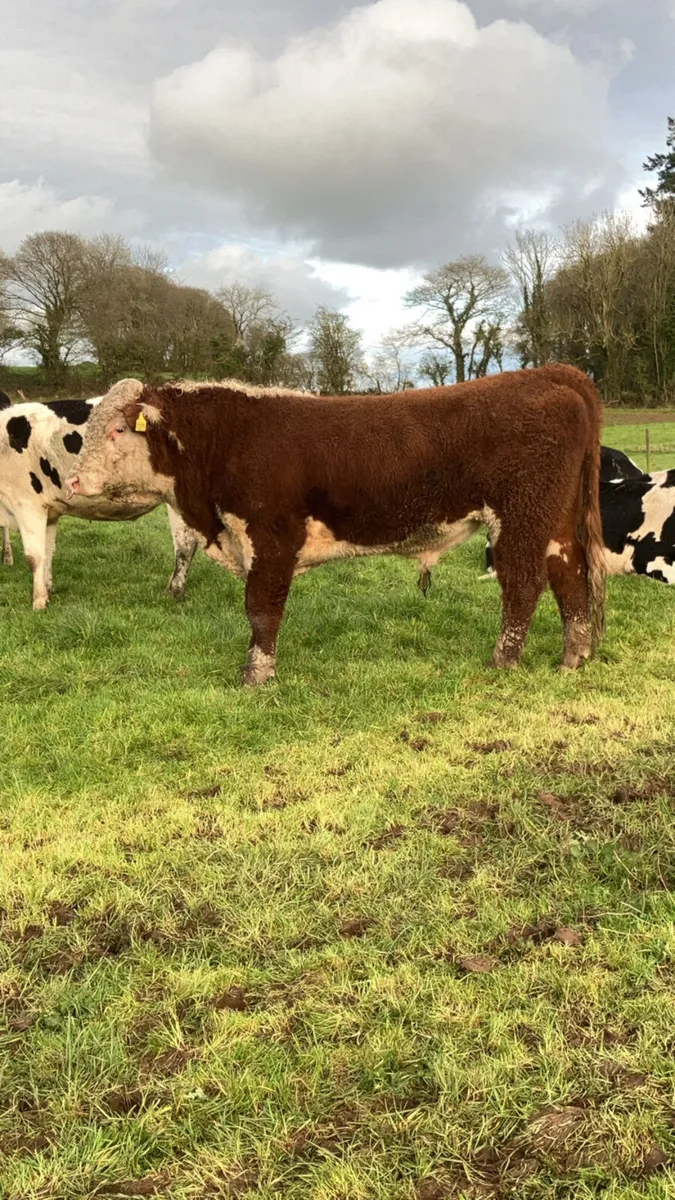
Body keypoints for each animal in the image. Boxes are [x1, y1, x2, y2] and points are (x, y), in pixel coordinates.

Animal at [0, 397, 199, 609]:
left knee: (185, 546)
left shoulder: (26, 504)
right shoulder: (50, 510)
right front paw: (48, 591)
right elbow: (47, 553)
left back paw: (175, 592)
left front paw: (38, 602)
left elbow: (34, 557)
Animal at [67, 365, 606, 683]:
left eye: (117, 429)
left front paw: (256, 677)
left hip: (520, 515)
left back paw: (503, 661)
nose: (72, 479)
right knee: (568, 574)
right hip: (555, 520)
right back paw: (573, 657)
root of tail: (548, 373)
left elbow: (261, 609)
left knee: (523, 583)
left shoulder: (272, 538)